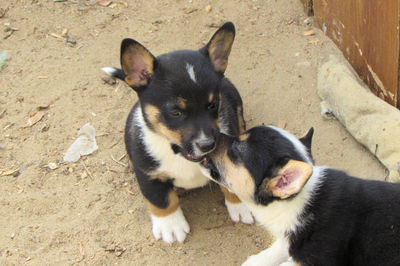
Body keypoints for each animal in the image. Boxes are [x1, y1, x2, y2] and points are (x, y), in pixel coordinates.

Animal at [102, 22, 253, 243]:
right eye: (175, 112)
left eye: (213, 105)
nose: (208, 145)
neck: (178, 153)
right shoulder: (148, 175)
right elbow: (161, 201)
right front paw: (170, 226)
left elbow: (232, 183)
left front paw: (240, 206)